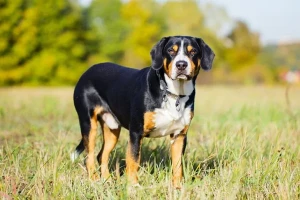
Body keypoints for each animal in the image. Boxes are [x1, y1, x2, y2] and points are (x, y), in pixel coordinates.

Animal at [71, 35, 214, 188]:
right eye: (171, 51)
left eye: (193, 51)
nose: (181, 65)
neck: (174, 93)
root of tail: (87, 72)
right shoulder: (136, 132)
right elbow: (134, 160)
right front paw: (133, 187)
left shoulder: (179, 136)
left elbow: (177, 165)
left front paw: (177, 187)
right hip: (88, 124)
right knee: (89, 157)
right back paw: (95, 181)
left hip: (112, 128)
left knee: (101, 155)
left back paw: (107, 181)